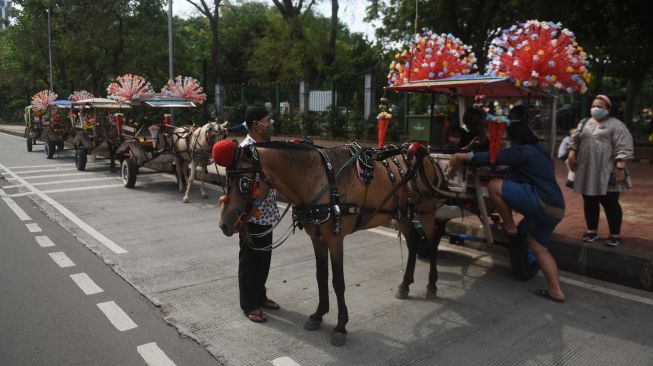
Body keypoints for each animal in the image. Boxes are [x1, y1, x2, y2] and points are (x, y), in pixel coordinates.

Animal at [219, 141, 448, 346]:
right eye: (227, 181)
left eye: (244, 183)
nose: (224, 224)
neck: (318, 179)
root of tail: (428, 156)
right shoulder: (317, 239)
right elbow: (321, 276)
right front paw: (319, 314)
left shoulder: (336, 239)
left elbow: (338, 281)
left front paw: (340, 326)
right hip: (403, 214)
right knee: (413, 243)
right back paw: (405, 285)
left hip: (426, 211)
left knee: (432, 241)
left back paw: (432, 284)